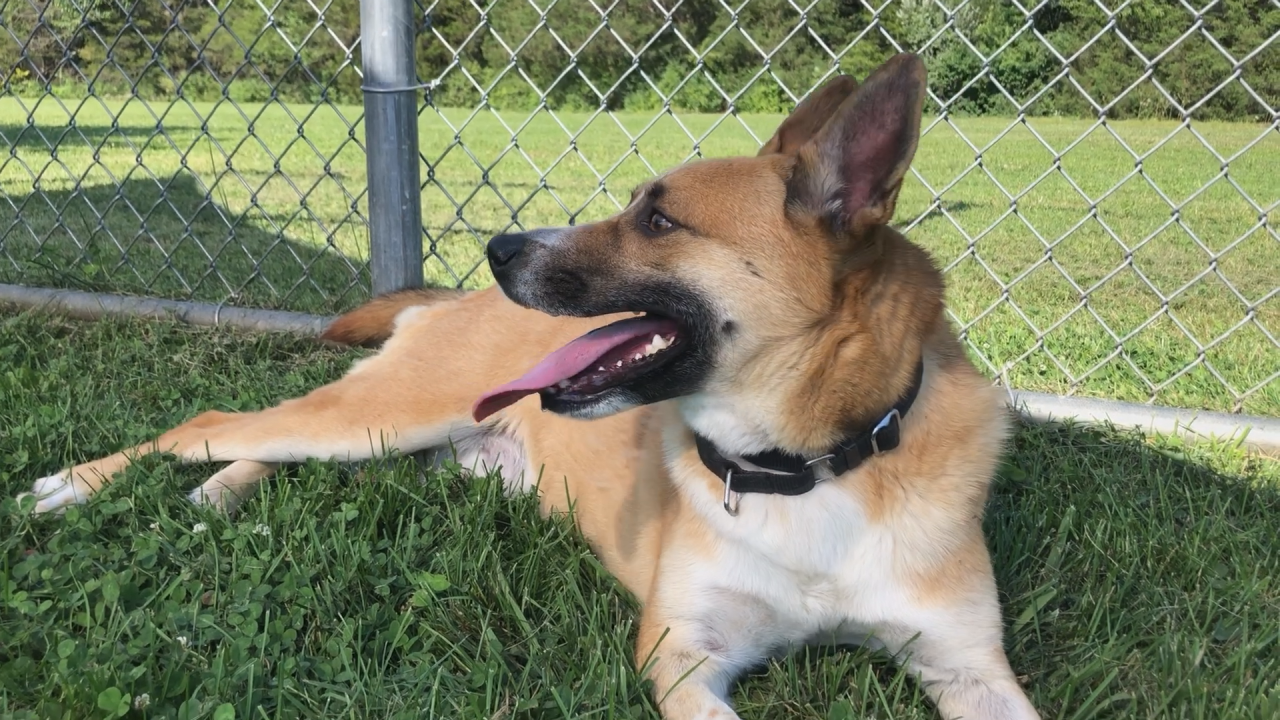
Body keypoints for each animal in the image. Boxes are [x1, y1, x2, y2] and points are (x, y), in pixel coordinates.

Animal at [17, 54, 1039, 717]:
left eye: (658, 219)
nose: (499, 247)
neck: (806, 464)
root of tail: (450, 299)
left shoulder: (970, 666)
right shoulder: (683, 653)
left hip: (407, 447)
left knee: (276, 450)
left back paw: (220, 495)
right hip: (385, 415)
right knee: (216, 420)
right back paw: (77, 484)